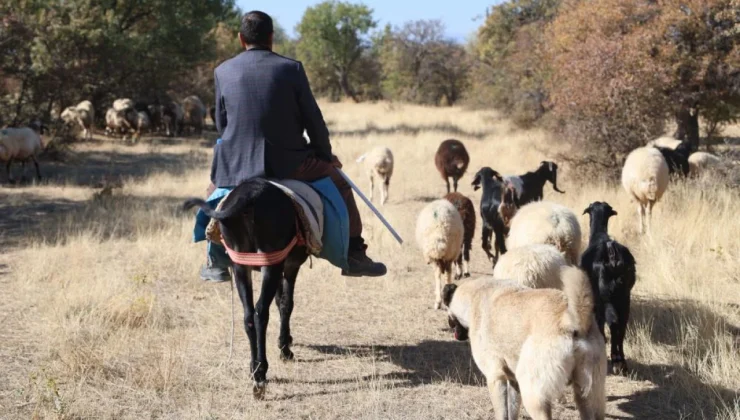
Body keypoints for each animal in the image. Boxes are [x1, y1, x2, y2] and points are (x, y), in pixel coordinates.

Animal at [188, 179, 312, 398]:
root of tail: (248, 196)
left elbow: (279, 301)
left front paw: (285, 341)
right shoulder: (290, 266)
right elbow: (286, 303)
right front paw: (285, 348)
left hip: (240, 265)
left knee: (248, 316)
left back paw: (253, 370)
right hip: (270, 263)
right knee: (260, 313)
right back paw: (261, 374)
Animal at [442, 268, 604, 418]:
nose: (449, 324)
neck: (475, 294)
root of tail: (571, 320)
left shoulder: (496, 378)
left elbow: (501, 413)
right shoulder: (513, 381)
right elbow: (511, 411)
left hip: (533, 395)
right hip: (588, 396)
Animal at [580, 201, 636, 374]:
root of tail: (612, 251)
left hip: (606, 297)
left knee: (612, 322)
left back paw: (616, 360)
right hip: (624, 298)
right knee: (621, 326)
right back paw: (622, 362)